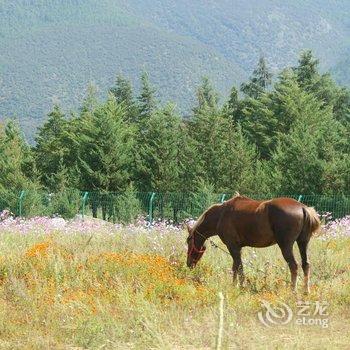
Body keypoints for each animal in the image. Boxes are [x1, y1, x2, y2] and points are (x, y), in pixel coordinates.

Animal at [187, 194, 322, 292]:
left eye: (188, 241)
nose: (189, 264)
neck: (221, 214)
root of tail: (302, 207)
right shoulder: (237, 248)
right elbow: (237, 267)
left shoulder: (233, 247)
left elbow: (238, 267)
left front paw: (238, 287)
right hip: (303, 242)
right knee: (306, 264)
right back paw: (306, 291)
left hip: (286, 245)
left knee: (294, 266)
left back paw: (292, 291)